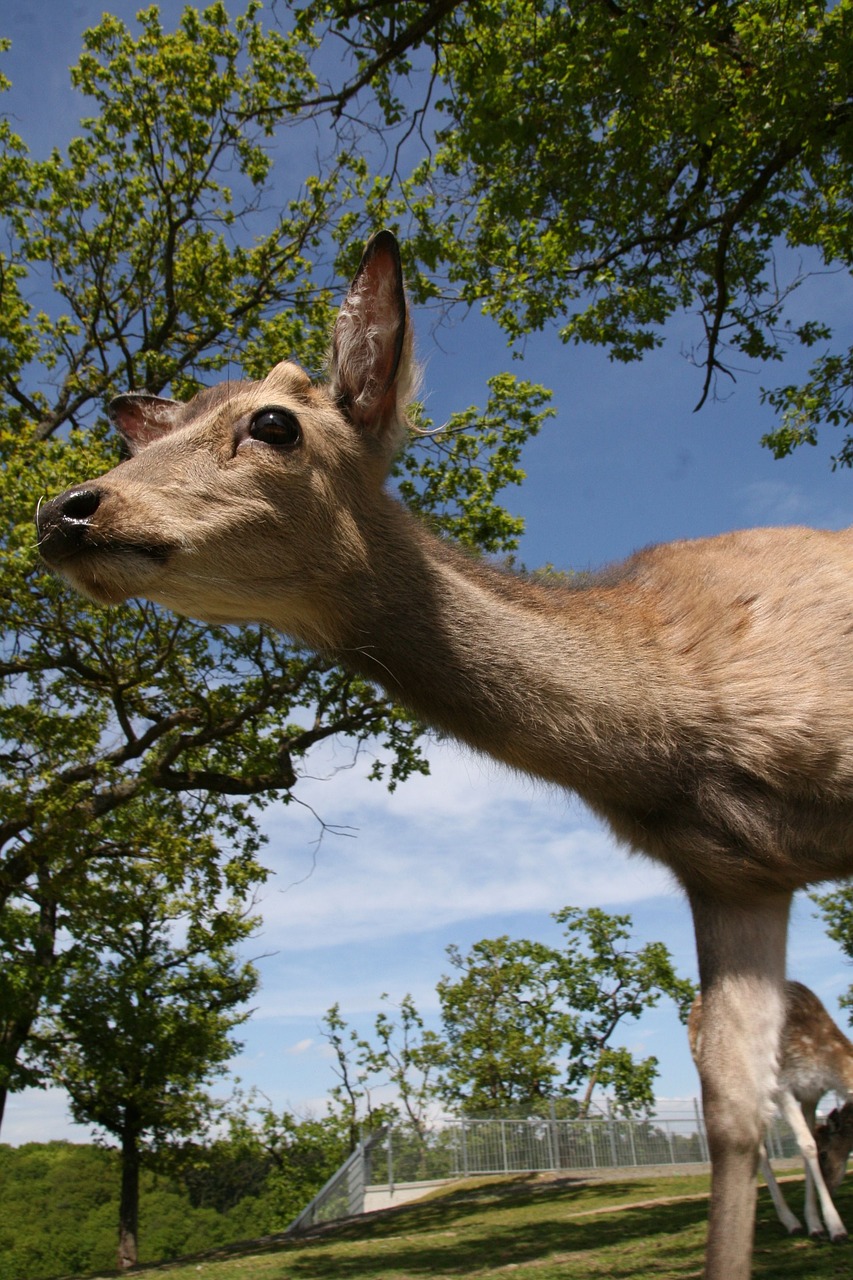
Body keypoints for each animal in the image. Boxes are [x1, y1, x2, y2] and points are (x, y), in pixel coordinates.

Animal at [686, 977, 850, 1239]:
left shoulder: (811, 1095)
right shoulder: (782, 1086)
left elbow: (808, 1143)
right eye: (825, 1154)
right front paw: (836, 1228)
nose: (833, 1186)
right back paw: (788, 1221)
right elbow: (807, 1145)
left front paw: (815, 1224)